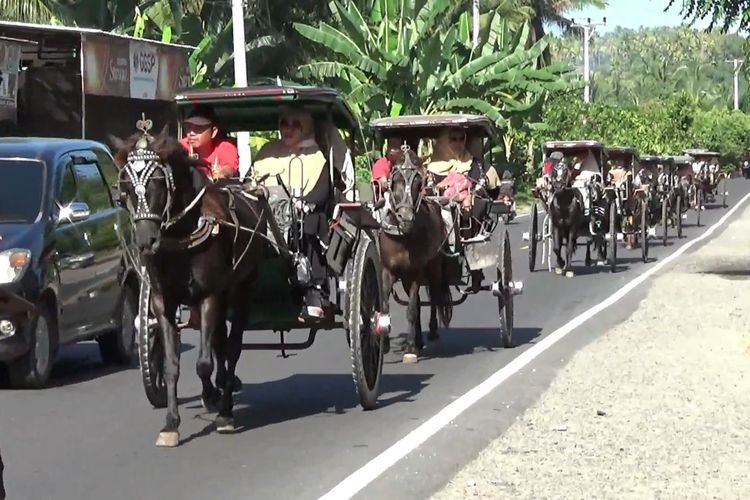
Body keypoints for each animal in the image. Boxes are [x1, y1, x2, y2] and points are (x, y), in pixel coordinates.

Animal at [109, 123, 268, 448]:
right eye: (126, 186)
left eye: (158, 181)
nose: (146, 241)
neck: (183, 231)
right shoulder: (163, 301)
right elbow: (173, 364)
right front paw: (172, 423)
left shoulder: (210, 295)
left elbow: (204, 362)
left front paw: (220, 408)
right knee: (219, 340)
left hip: (242, 287)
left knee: (232, 347)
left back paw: (225, 402)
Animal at [382, 148, 452, 364]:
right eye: (394, 180)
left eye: (419, 183)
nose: (406, 218)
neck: (402, 236)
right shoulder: (387, 271)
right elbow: (385, 306)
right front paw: (384, 342)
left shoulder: (414, 272)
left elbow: (412, 310)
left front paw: (410, 348)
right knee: (421, 302)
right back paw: (419, 339)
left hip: (434, 269)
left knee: (434, 297)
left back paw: (431, 333)